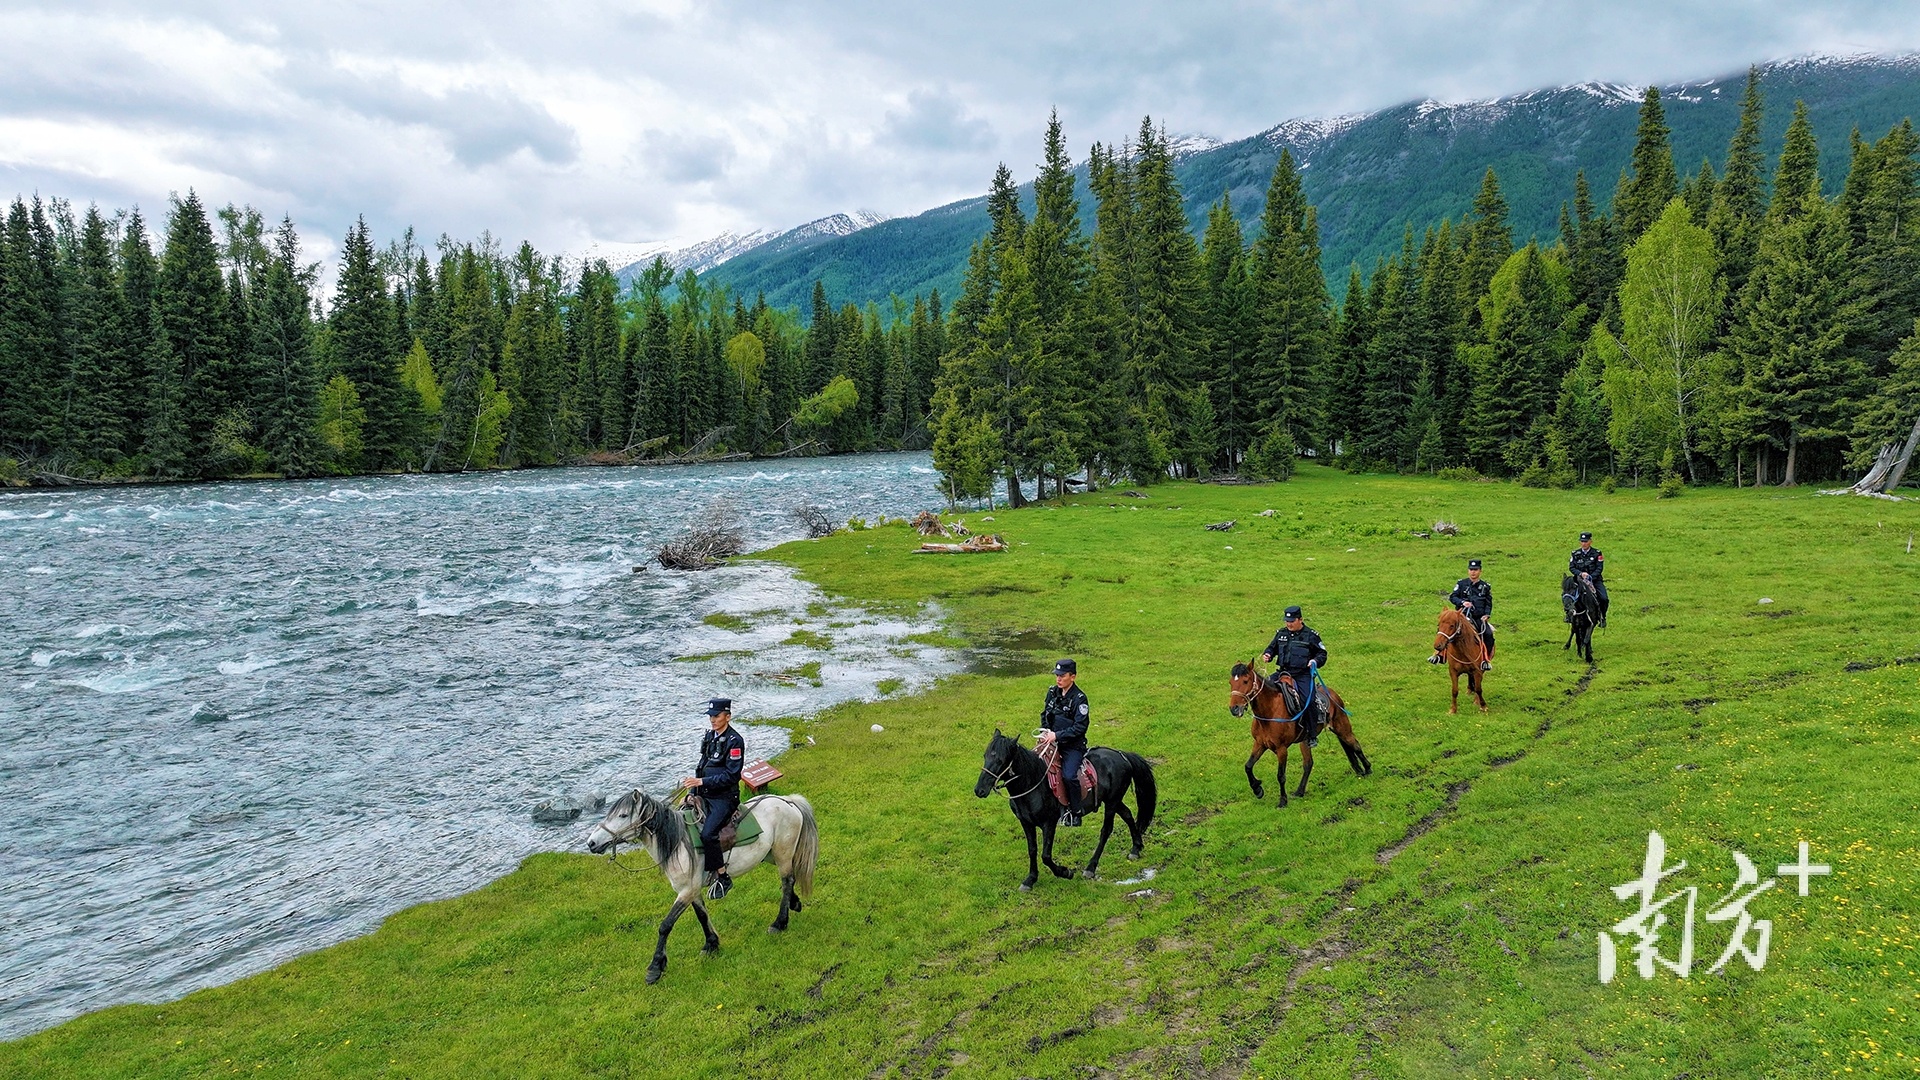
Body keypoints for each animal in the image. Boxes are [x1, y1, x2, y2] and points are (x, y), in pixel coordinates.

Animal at [587, 787, 821, 980]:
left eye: (623, 815)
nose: (591, 843)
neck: (678, 843)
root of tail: (788, 801)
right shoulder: (691, 890)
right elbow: (701, 915)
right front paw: (711, 944)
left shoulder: (686, 891)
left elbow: (665, 925)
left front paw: (655, 967)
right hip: (771, 855)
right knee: (789, 880)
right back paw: (794, 903)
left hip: (782, 853)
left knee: (787, 880)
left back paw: (779, 923)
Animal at [975, 726, 1152, 887]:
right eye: (984, 756)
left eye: (1000, 760)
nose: (979, 790)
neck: (1032, 783)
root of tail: (1122, 755)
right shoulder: (1026, 822)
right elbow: (1032, 850)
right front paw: (1030, 879)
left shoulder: (1049, 823)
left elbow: (1046, 855)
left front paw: (1065, 872)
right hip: (1113, 801)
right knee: (1128, 814)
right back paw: (1136, 849)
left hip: (1112, 802)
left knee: (1106, 830)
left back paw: (1090, 868)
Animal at [1228, 653, 1367, 803]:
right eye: (1230, 682)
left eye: (1245, 681)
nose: (1234, 709)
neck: (1270, 713)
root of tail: (1331, 693)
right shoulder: (1260, 744)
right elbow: (1248, 766)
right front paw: (1257, 789)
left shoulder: (1282, 749)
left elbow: (1280, 775)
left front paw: (1283, 800)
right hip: (1306, 740)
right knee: (1308, 764)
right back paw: (1300, 791)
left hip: (1342, 728)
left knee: (1355, 745)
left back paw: (1368, 769)